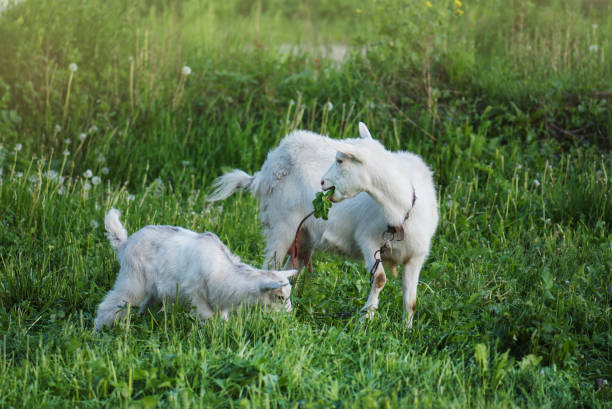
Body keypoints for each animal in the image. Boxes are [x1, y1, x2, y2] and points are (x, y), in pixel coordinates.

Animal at [208, 121, 438, 326]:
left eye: (340, 161)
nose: (322, 182)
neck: (402, 209)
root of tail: (265, 170)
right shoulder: (368, 240)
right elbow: (379, 278)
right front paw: (366, 321)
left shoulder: (416, 256)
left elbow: (411, 300)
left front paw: (406, 330)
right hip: (281, 225)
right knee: (271, 267)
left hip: (302, 236)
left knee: (292, 269)